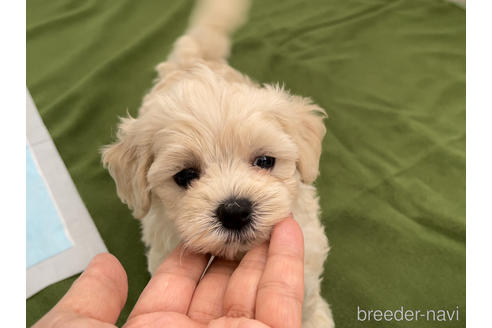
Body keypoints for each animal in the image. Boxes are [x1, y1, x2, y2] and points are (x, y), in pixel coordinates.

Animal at [104, 0, 334, 326]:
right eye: (185, 175)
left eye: (265, 161)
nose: (235, 211)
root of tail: (193, 59)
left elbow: (308, 297)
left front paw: (314, 318)